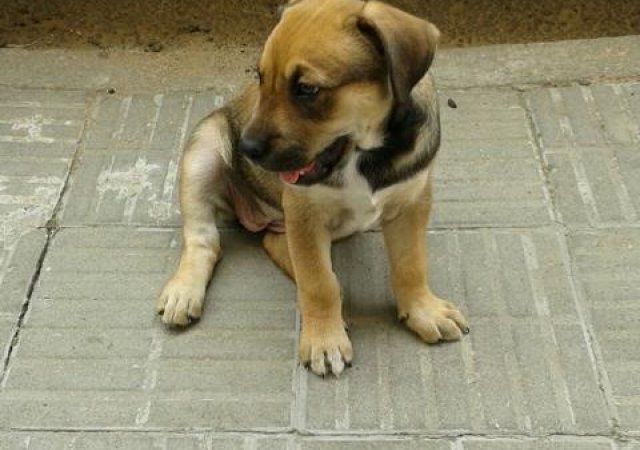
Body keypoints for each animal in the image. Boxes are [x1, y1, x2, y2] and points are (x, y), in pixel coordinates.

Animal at [156, 0, 469, 377]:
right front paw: (324, 339)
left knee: (276, 243)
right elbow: (319, 282)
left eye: (307, 89)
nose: (246, 148)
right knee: (204, 240)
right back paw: (184, 292)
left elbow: (411, 264)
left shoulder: (412, 202)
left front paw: (423, 309)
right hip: (203, 152)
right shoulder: (304, 213)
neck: (364, 155)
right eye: (260, 77)